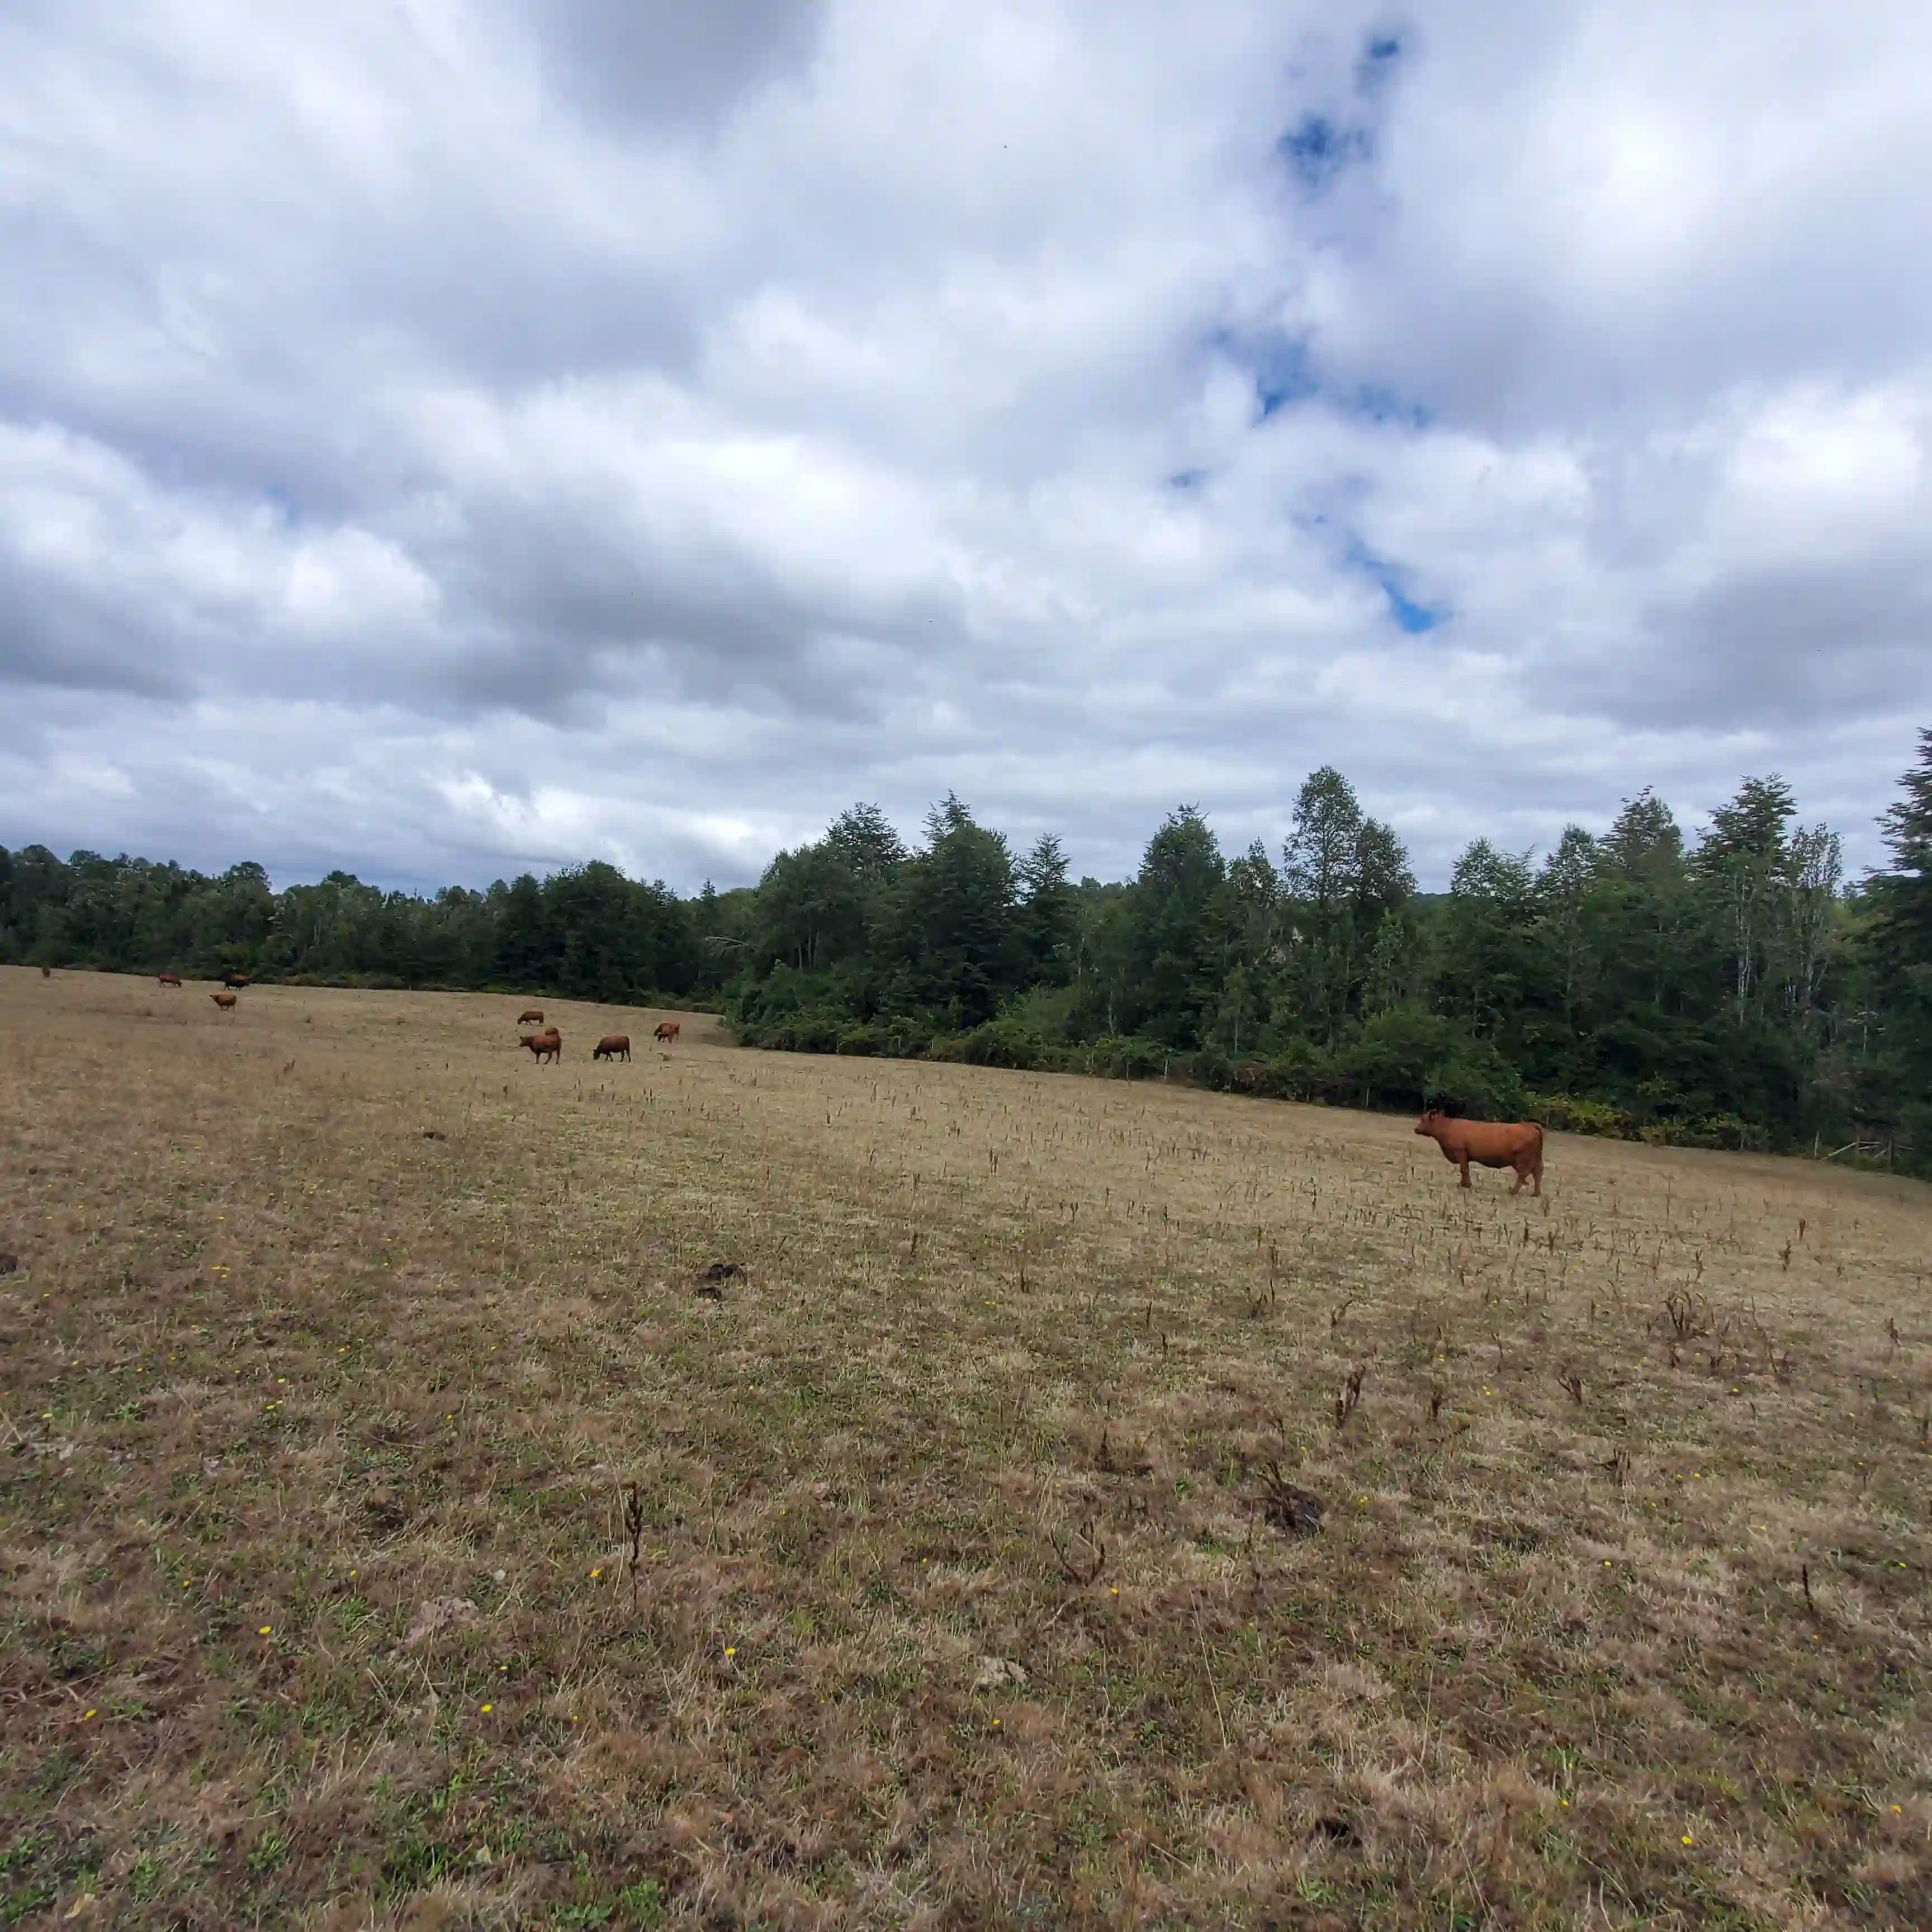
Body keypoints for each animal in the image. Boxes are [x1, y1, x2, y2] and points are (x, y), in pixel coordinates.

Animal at [1414, 1109, 1544, 1196]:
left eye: (1423, 1119)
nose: (1416, 1129)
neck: (1448, 1127)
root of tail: (1529, 1125)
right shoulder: (1464, 1155)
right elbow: (1465, 1169)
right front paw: (1464, 1184)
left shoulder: (1460, 1151)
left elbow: (1464, 1169)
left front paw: (1465, 1185)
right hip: (1535, 1158)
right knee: (1538, 1171)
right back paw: (1536, 1193)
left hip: (1522, 1159)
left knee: (1524, 1173)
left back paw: (1513, 1191)